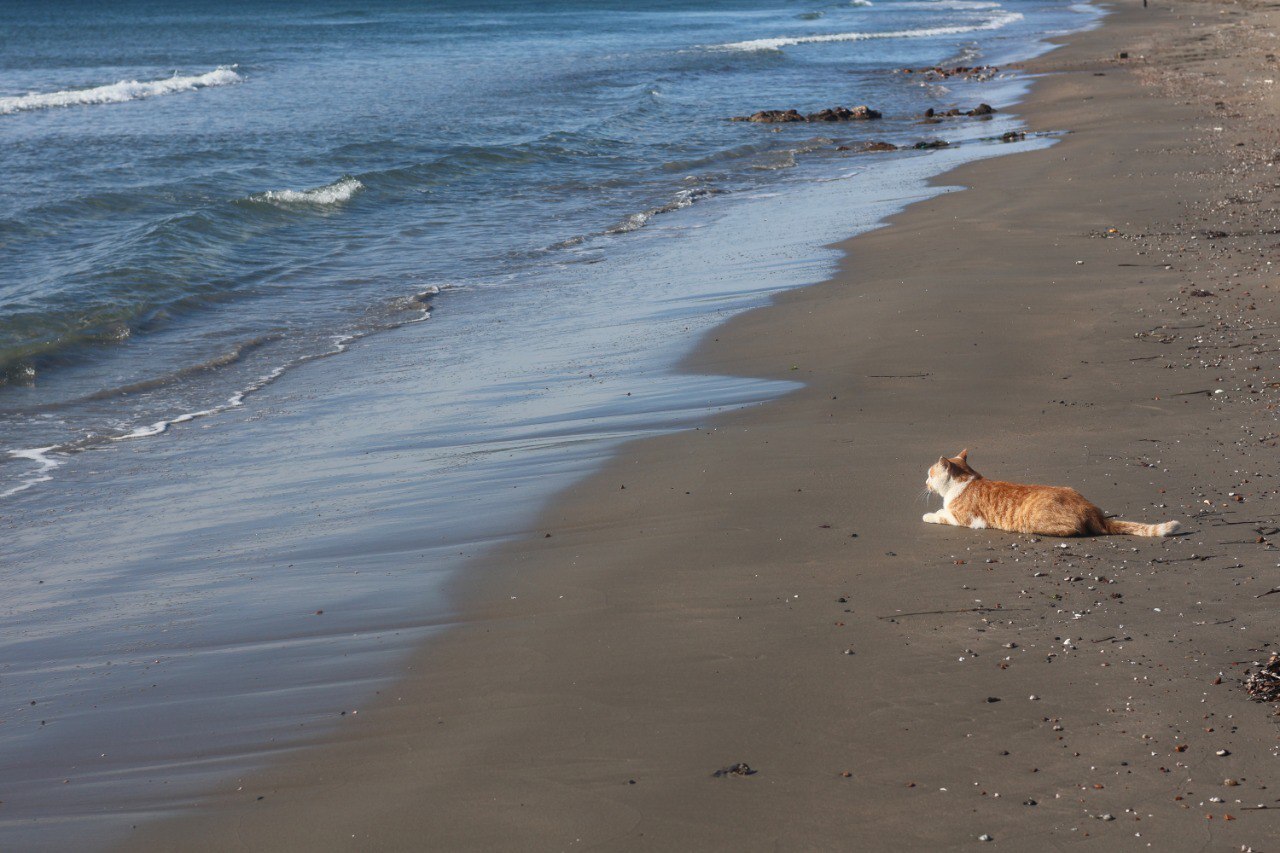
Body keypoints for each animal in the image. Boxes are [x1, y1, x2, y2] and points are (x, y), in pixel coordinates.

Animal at [921, 448, 1177, 535]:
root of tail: (1090, 508)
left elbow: (940, 516)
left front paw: (930, 514)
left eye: (930, 474)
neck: (966, 481)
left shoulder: (965, 519)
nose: (924, 482)